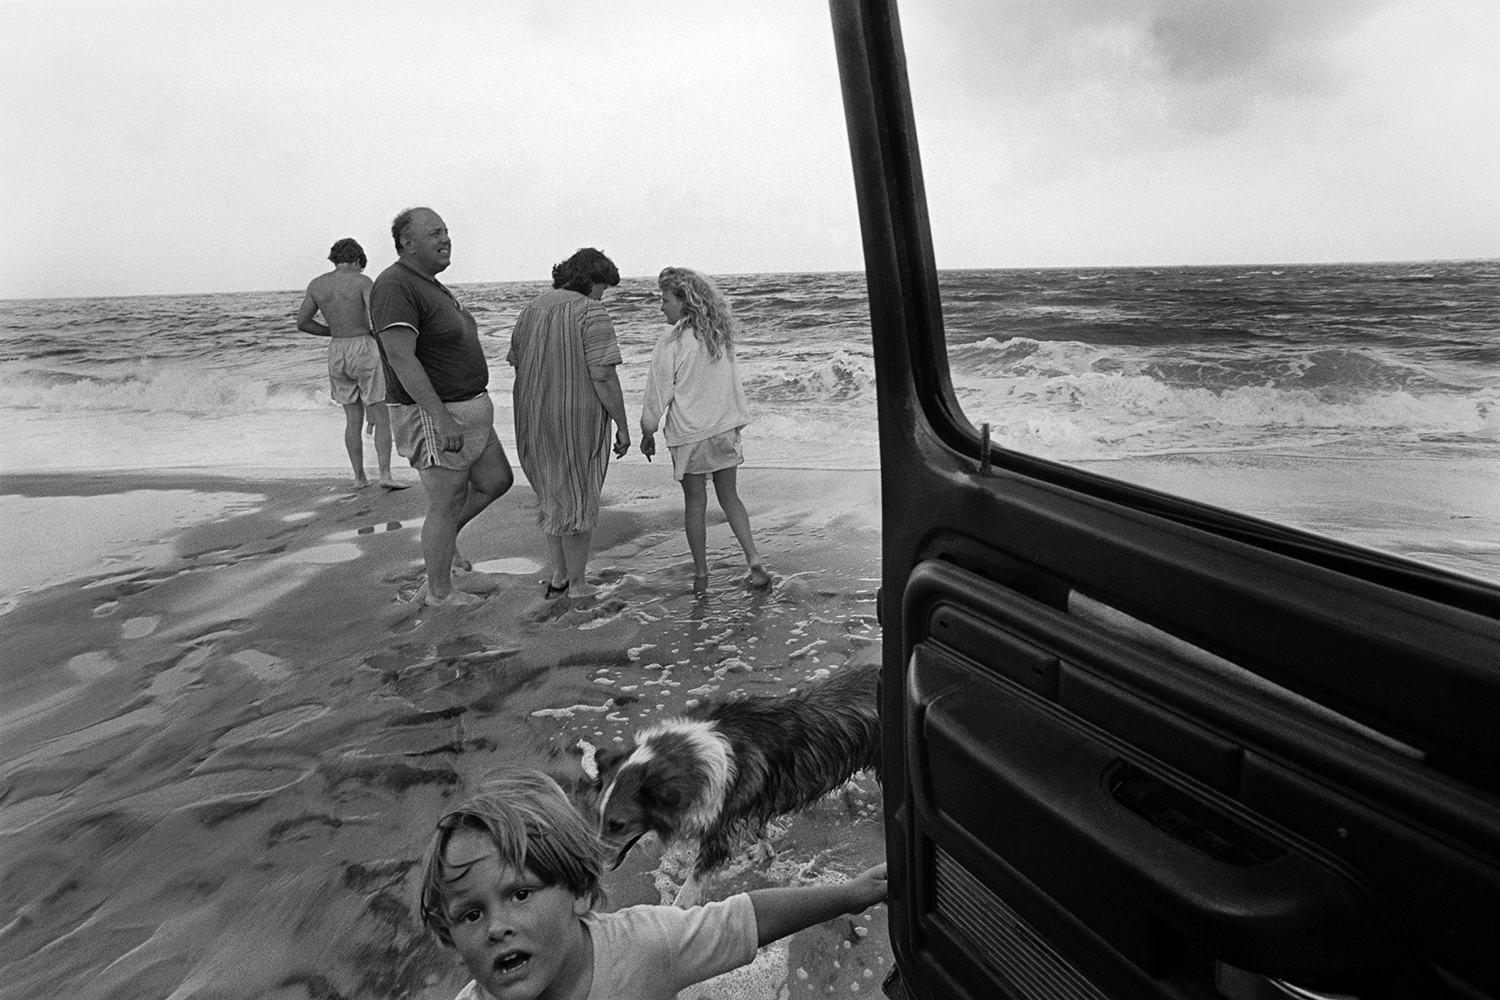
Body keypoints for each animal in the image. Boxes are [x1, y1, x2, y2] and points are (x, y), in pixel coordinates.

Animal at [591, 665, 882, 905]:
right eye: (598, 817)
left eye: (618, 824)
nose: (592, 871)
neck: (691, 753)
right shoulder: (754, 797)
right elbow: (760, 826)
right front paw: (764, 851)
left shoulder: (717, 832)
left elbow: (690, 888)